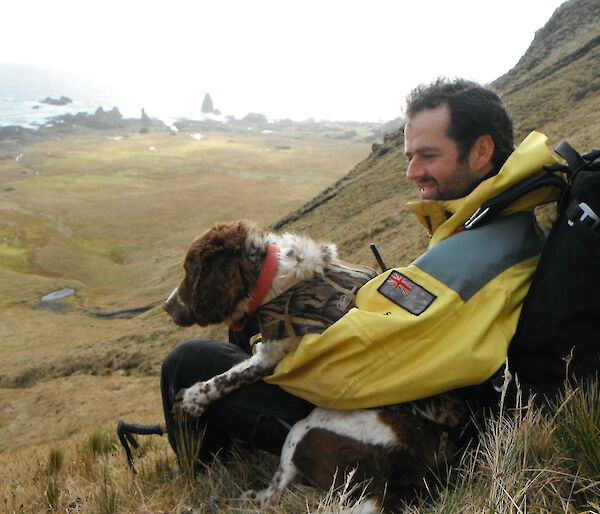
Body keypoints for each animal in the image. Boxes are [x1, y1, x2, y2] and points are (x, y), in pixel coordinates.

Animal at [164, 218, 464, 510]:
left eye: (191, 271)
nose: (167, 306)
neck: (274, 275)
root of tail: (400, 474)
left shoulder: (275, 352)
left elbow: (230, 376)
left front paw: (192, 399)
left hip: (302, 431)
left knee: (271, 497)